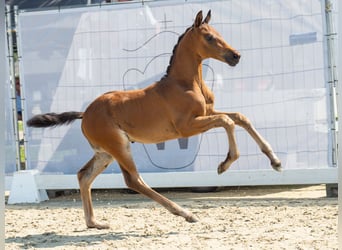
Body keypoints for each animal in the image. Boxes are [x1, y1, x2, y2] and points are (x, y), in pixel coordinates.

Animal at [28, 10, 282, 229]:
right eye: (209, 37)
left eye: (219, 33)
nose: (235, 56)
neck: (185, 84)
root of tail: (85, 113)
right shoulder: (186, 128)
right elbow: (227, 122)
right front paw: (225, 163)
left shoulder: (206, 113)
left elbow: (240, 117)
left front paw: (275, 162)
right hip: (119, 147)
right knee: (133, 180)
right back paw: (185, 213)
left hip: (105, 152)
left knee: (84, 176)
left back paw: (94, 223)